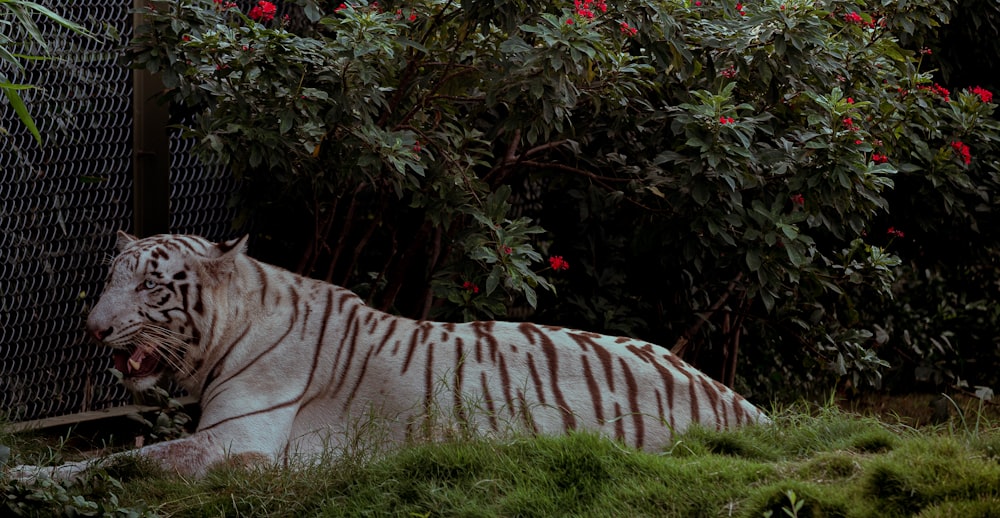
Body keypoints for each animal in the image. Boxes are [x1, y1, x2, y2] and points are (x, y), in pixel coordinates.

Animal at [7, 234, 764, 482]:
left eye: (150, 286)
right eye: (112, 278)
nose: (93, 328)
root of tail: (746, 407)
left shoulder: (235, 443)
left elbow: (121, 460)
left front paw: (27, 477)